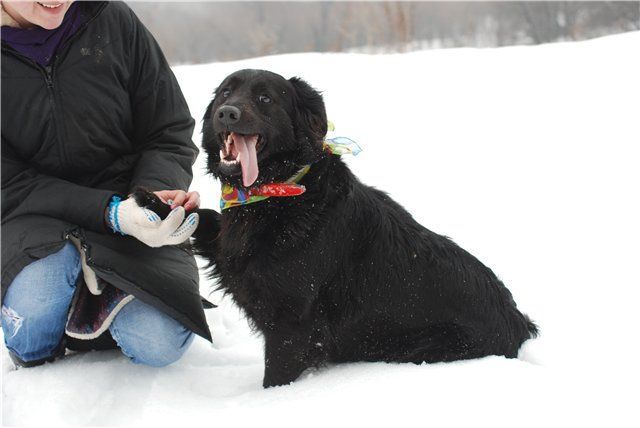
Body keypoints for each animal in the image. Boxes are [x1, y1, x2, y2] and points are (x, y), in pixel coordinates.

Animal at [188, 70, 536, 388]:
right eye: (225, 92)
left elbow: (275, 378)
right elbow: (202, 220)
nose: (227, 113)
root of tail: (520, 323)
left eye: (265, 98)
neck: (278, 194)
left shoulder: (291, 323)